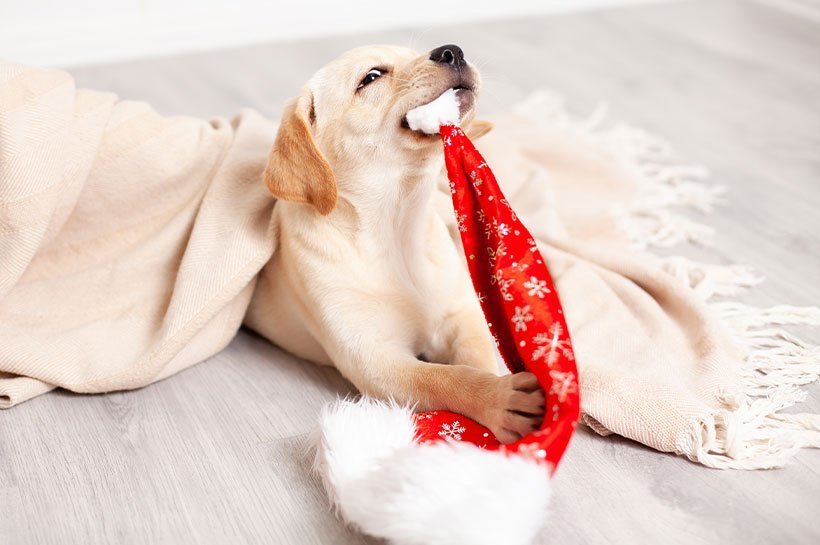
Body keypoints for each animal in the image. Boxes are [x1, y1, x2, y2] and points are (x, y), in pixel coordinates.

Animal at [247, 43, 548, 442]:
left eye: (416, 53)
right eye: (371, 77)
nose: (451, 51)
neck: (397, 225)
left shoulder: (460, 317)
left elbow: (476, 359)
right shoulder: (376, 360)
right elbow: (446, 379)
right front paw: (497, 399)